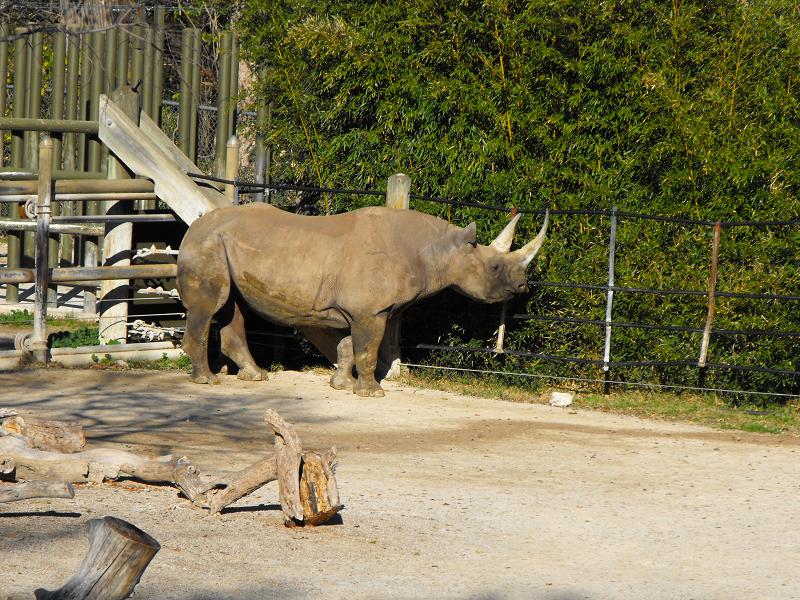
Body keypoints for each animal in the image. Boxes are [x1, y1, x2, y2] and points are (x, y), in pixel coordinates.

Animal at [176, 204, 548, 397]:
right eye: (494, 267)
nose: (522, 285)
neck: (439, 251)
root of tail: (192, 228)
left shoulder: (355, 310)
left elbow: (346, 347)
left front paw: (340, 385)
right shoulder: (372, 311)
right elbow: (368, 350)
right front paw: (372, 392)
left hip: (224, 245)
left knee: (232, 308)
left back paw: (255, 376)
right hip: (207, 245)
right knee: (210, 307)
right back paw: (207, 380)